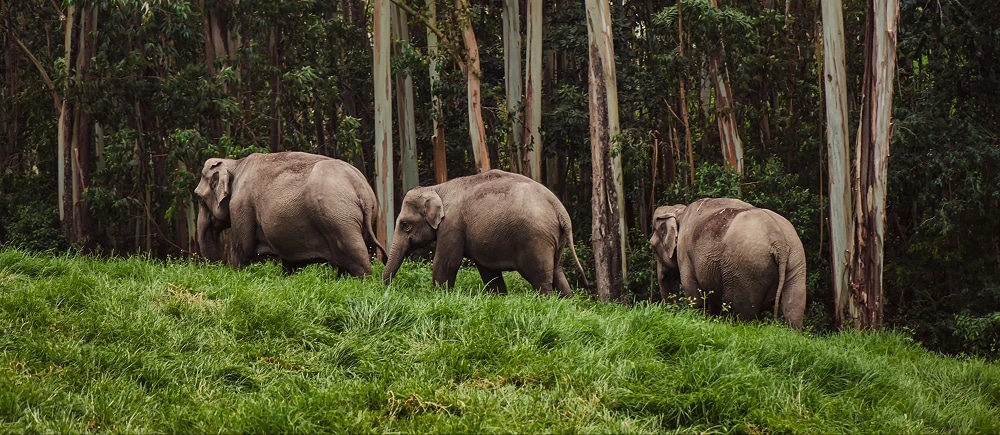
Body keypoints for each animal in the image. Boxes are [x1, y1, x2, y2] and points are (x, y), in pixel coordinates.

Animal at [194, 151, 386, 277]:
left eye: (199, 198)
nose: (215, 268)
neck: (236, 163)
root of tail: (361, 188)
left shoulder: (240, 206)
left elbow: (243, 252)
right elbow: (290, 262)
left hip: (339, 218)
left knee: (356, 257)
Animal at [381, 169, 587, 296]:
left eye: (405, 225)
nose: (386, 288)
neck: (437, 188)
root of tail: (559, 209)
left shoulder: (452, 225)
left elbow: (447, 263)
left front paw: (438, 295)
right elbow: (488, 271)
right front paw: (499, 298)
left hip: (536, 240)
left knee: (540, 278)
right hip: (555, 239)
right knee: (557, 272)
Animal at [649, 197, 807, 329]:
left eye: (652, 246)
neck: (680, 210)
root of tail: (778, 240)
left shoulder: (685, 254)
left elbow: (694, 296)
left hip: (745, 269)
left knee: (741, 312)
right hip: (796, 258)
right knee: (793, 307)